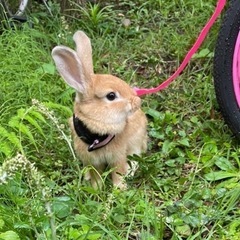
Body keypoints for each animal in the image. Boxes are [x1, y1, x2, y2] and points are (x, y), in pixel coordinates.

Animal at [51, 31, 147, 189]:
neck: (96, 136)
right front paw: (96, 188)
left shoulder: (118, 156)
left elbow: (118, 172)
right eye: (111, 96)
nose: (137, 102)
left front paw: (119, 189)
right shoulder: (91, 161)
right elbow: (96, 174)